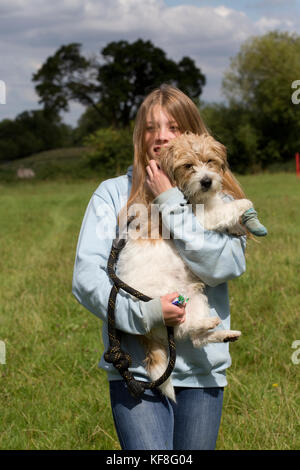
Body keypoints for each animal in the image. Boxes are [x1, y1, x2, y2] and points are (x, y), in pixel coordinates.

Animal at [115, 132, 253, 400]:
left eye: (209, 161)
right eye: (188, 166)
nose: (207, 182)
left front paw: (237, 227)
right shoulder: (201, 218)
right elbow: (224, 211)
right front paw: (243, 206)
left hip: (194, 297)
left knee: (195, 338)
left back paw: (222, 332)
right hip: (168, 302)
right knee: (185, 330)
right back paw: (209, 325)